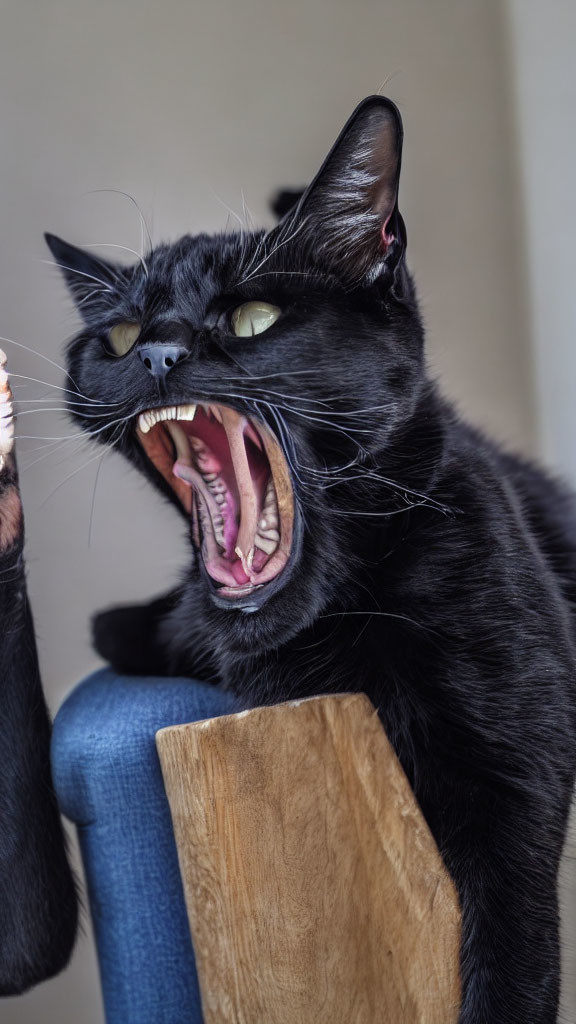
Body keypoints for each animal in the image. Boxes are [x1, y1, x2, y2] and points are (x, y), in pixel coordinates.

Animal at [38, 97, 573, 1024]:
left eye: (253, 317)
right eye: (121, 334)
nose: (156, 354)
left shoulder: (519, 773)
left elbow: (515, 951)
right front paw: (135, 621)